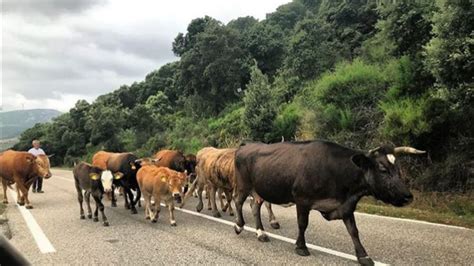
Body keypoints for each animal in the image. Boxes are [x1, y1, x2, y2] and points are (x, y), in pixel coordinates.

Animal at [233, 140, 426, 264]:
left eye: (398, 169)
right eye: (383, 169)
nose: (408, 196)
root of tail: (246, 145)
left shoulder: (346, 206)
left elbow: (354, 231)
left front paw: (363, 256)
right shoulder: (302, 200)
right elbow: (303, 224)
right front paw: (301, 247)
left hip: (259, 190)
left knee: (255, 206)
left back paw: (261, 233)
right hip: (243, 185)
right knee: (238, 201)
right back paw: (239, 225)